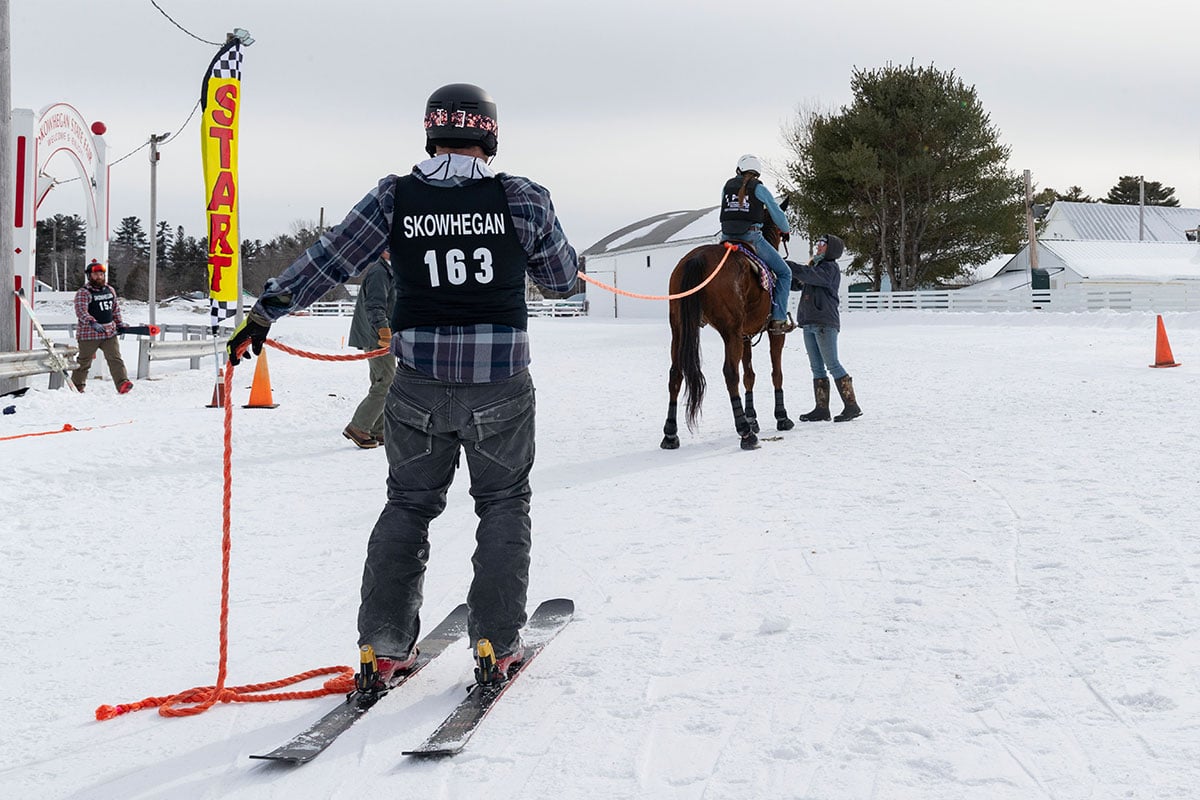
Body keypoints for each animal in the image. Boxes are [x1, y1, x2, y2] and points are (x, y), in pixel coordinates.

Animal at [662, 215, 792, 450]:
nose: (786, 233)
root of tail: (697, 258)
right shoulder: (773, 333)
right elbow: (776, 373)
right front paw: (781, 417)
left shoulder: (745, 335)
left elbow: (749, 375)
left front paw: (753, 417)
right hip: (729, 333)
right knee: (730, 374)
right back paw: (746, 433)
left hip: (680, 330)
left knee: (675, 374)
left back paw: (670, 434)